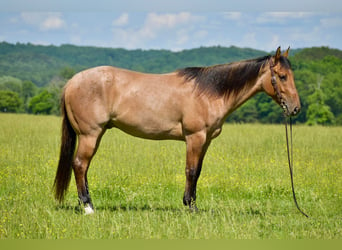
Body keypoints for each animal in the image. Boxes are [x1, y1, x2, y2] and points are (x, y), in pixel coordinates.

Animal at [52, 46, 300, 214]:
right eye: (282, 76)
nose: (295, 108)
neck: (210, 92)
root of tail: (72, 82)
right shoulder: (195, 137)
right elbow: (190, 171)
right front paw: (191, 207)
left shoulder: (206, 141)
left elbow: (197, 172)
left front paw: (192, 204)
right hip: (90, 135)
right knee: (80, 165)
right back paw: (88, 207)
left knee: (82, 167)